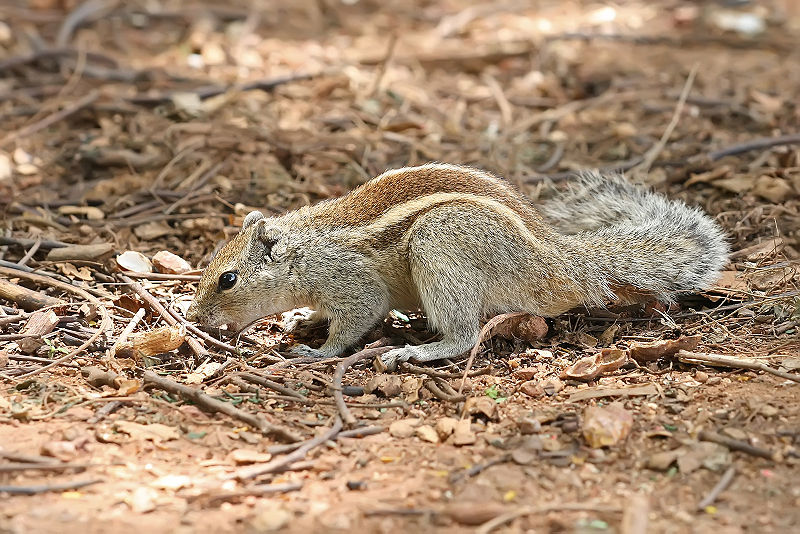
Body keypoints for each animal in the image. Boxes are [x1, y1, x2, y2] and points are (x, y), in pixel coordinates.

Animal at [188, 165, 732, 370]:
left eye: (227, 280)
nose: (193, 318)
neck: (301, 249)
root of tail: (560, 264)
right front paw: (304, 320)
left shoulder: (348, 280)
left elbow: (356, 319)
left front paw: (317, 352)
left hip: (440, 243)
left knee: (466, 335)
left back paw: (415, 350)